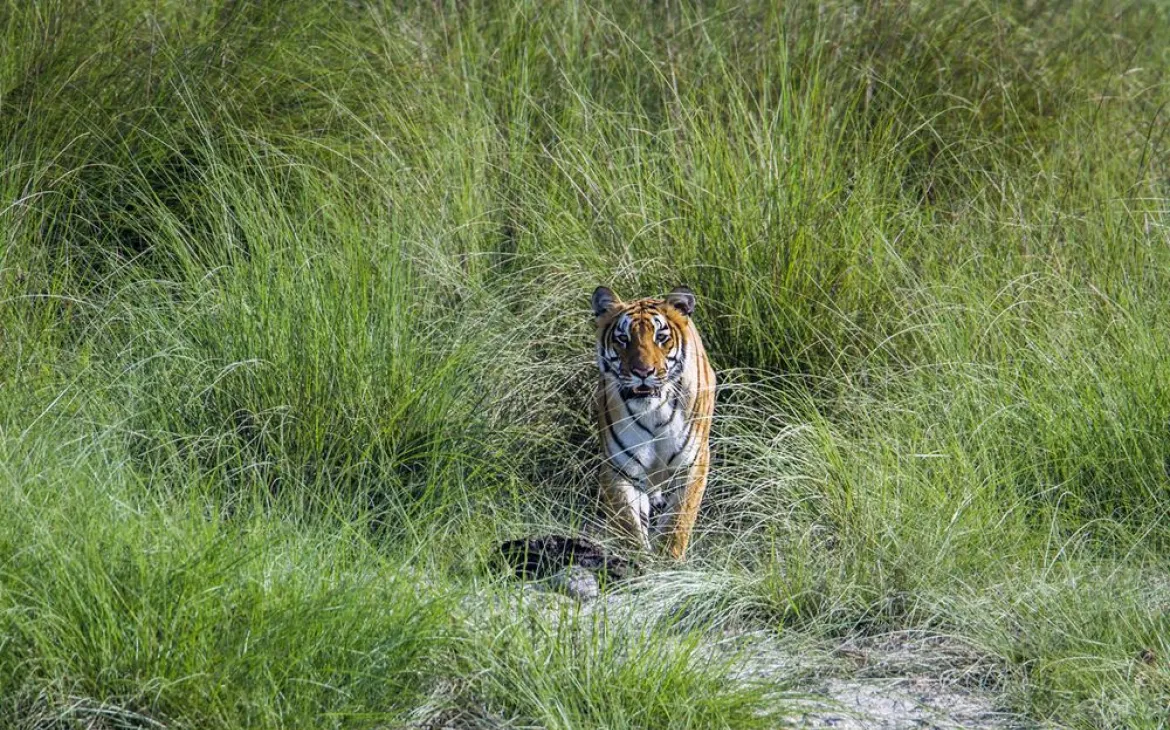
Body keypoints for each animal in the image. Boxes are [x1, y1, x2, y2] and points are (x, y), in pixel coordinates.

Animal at [591, 285, 716, 560]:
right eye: (623, 339)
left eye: (661, 337)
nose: (643, 372)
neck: (654, 412)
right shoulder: (620, 468)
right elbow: (628, 523)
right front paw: (637, 560)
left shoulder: (692, 463)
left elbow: (678, 521)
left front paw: (669, 562)